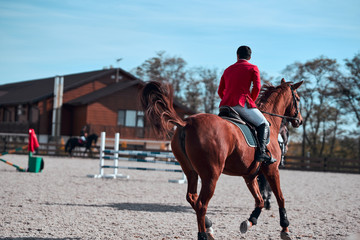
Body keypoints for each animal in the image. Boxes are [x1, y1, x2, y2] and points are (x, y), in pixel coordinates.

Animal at [141, 79, 304, 240]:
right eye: (297, 98)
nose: (300, 121)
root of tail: (187, 123)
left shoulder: (250, 176)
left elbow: (260, 201)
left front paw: (249, 222)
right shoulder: (272, 170)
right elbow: (280, 198)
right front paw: (285, 228)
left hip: (191, 172)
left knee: (192, 198)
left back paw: (209, 227)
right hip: (211, 175)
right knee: (201, 204)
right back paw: (203, 234)